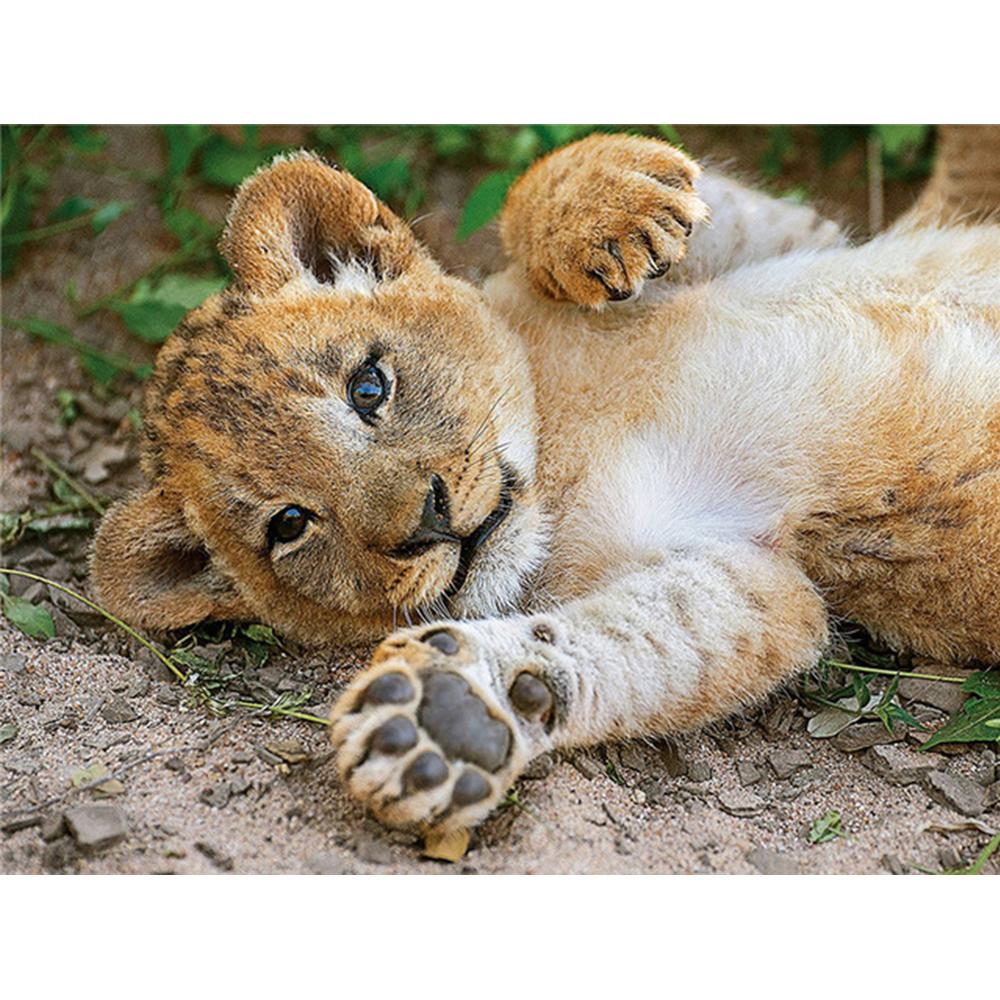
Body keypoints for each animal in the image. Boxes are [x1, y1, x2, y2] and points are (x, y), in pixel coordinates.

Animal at [92, 129, 1000, 837]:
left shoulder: (804, 239)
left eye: (368, 387)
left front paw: (612, 203)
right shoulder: (761, 580)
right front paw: (452, 716)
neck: (563, 434)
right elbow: (644, 640)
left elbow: (548, 201)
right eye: (288, 525)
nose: (428, 522)